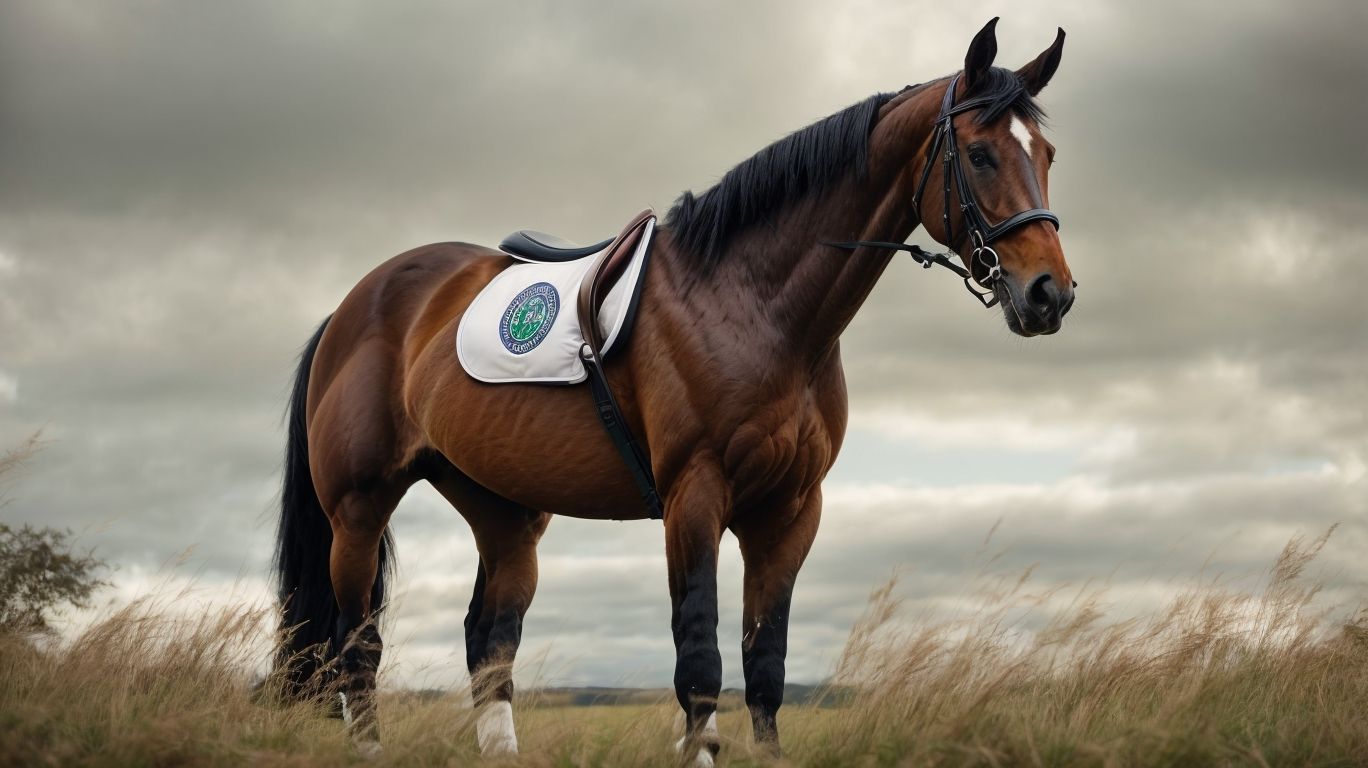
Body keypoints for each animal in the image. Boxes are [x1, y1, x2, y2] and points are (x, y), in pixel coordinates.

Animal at [268, 17, 1072, 764]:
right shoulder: (695, 496)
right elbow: (701, 658)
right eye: (979, 152)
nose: (1050, 294)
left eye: (1047, 155)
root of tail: (354, 305)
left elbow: (765, 665)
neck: (754, 304)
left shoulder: (791, 511)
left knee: (489, 642)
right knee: (357, 644)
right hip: (358, 510)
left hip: (505, 513)